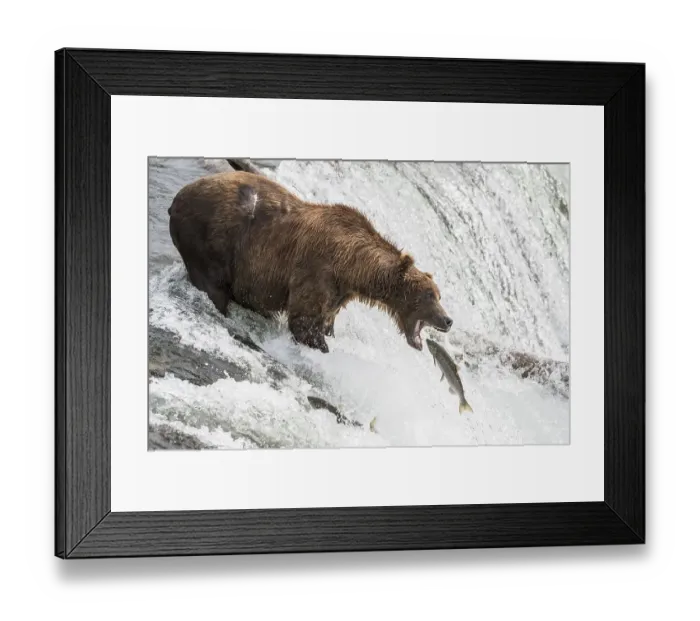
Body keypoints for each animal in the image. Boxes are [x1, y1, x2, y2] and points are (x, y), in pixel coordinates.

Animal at [168, 170, 453, 353]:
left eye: (438, 295)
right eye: (428, 295)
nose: (448, 320)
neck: (352, 266)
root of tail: (177, 198)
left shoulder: (338, 292)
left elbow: (325, 319)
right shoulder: (317, 270)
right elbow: (304, 321)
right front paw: (320, 346)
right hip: (211, 240)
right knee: (213, 285)